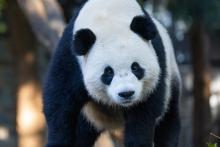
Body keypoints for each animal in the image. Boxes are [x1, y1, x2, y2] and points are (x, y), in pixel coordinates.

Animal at [42, 0, 180, 147]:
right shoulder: (71, 59)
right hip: (90, 113)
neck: (109, 16)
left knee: (169, 119)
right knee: (82, 131)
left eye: (135, 67)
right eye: (108, 72)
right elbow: (59, 103)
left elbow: (144, 113)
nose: (126, 93)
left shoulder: (158, 60)